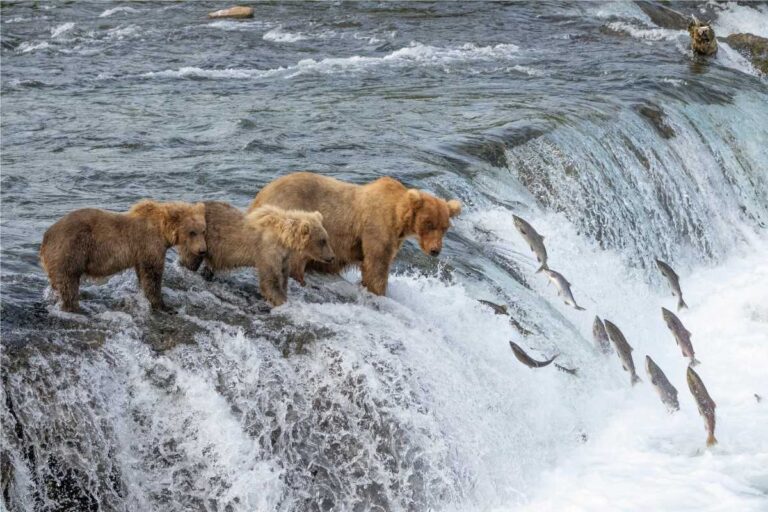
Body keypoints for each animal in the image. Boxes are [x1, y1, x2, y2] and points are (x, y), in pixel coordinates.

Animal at [39, 199, 207, 312]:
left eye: (203, 230)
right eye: (192, 232)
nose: (203, 250)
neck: (162, 230)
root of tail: (46, 236)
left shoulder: (141, 253)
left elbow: (142, 273)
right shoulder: (150, 244)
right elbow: (153, 275)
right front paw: (163, 305)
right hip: (71, 249)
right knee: (69, 282)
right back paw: (74, 307)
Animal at [189, 201, 332, 306]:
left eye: (326, 238)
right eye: (322, 240)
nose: (331, 257)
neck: (283, 239)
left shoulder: (284, 256)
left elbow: (283, 276)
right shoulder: (267, 251)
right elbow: (270, 281)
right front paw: (281, 301)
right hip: (200, 240)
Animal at [249, 171, 460, 294]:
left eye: (444, 227)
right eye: (429, 223)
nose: (435, 250)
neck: (399, 217)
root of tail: (261, 195)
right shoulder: (377, 227)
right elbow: (376, 265)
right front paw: (379, 291)